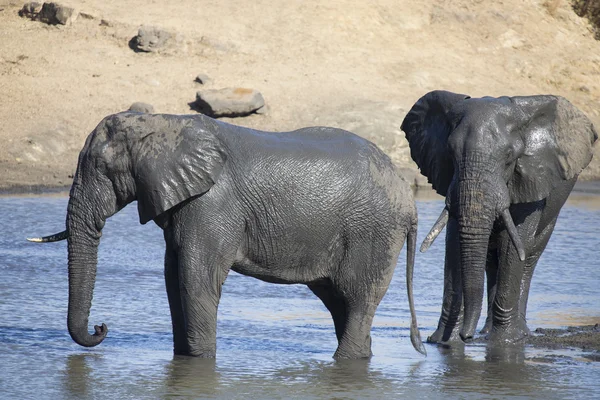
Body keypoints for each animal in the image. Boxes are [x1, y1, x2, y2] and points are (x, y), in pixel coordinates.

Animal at [29, 111, 426, 360]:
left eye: (101, 168)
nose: (101, 326)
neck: (161, 124)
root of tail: (407, 198)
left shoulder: (212, 204)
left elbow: (196, 277)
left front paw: (201, 361)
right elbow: (173, 277)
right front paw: (183, 361)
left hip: (372, 231)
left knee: (357, 298)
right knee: (337, 301)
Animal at [400, 90, 596, 344]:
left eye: (509, 156)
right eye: (450, 152)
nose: (467, 336)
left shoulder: (530, 179)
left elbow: (513, 246)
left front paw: (504, 343)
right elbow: (454, 243)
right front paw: (444, 341)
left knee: (528, 258)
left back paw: (517, 333)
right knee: (491, 261)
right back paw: (486, 331)